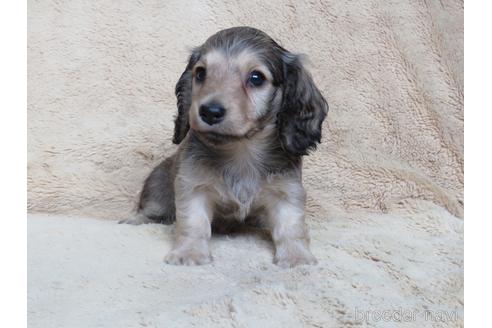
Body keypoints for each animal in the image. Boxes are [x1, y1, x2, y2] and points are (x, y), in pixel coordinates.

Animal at [119, 25, 328, 266]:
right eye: (200, 73)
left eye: (256, 77)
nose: (209, 111)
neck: (241, 152)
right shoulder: (193, 187)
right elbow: (194, 223)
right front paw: (189, 253)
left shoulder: (287, 191)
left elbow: (291, 227)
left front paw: (296, 256)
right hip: (158, 193)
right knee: (149, 212)